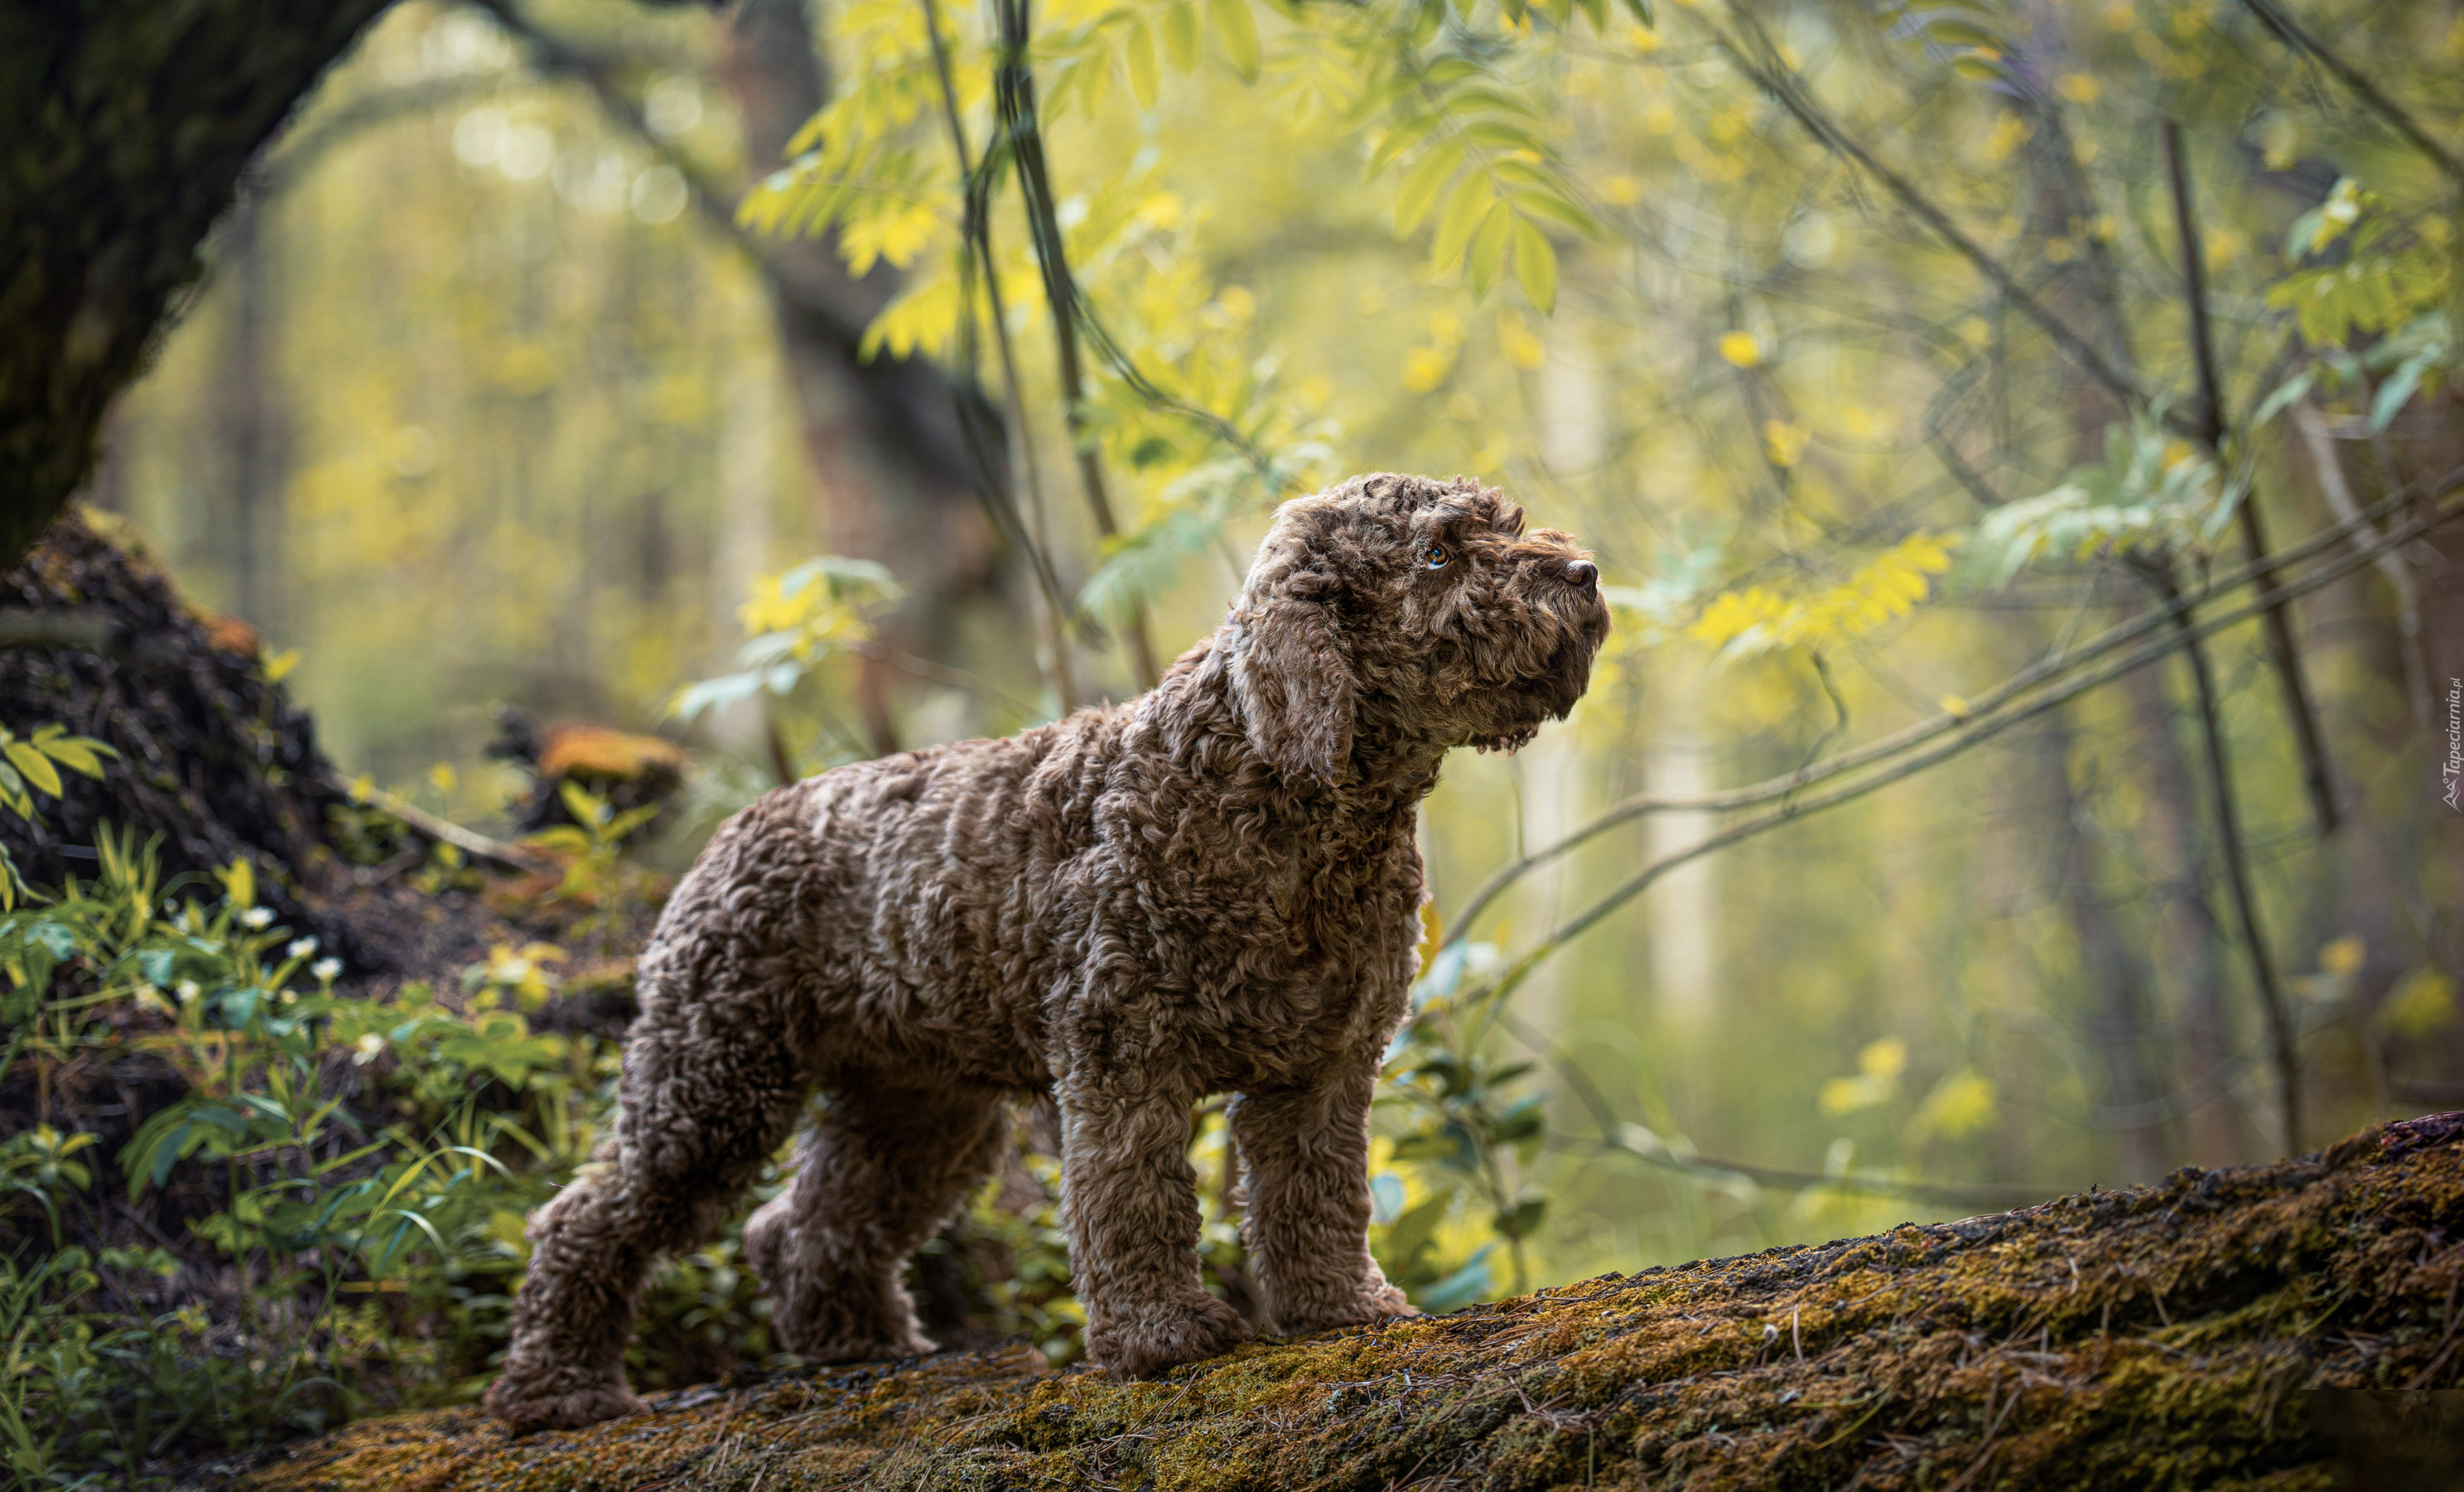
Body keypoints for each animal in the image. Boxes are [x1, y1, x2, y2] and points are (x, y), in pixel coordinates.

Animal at [488, 471, 1606, 1430]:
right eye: (1438, 552)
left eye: (1503, 522)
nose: (1584, 574)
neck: (1278, 801)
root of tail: (737, 826)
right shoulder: (1124, 1061)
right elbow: (1135, 1205)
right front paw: (1161, 1337)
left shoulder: (1322, 1072)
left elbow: (1317, 1200)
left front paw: (1342, 1307)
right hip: (713, 1081)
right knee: (588, 1217)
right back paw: (558, 1390)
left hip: (918, 1112)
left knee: (806, 1224)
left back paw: (861, 1342)